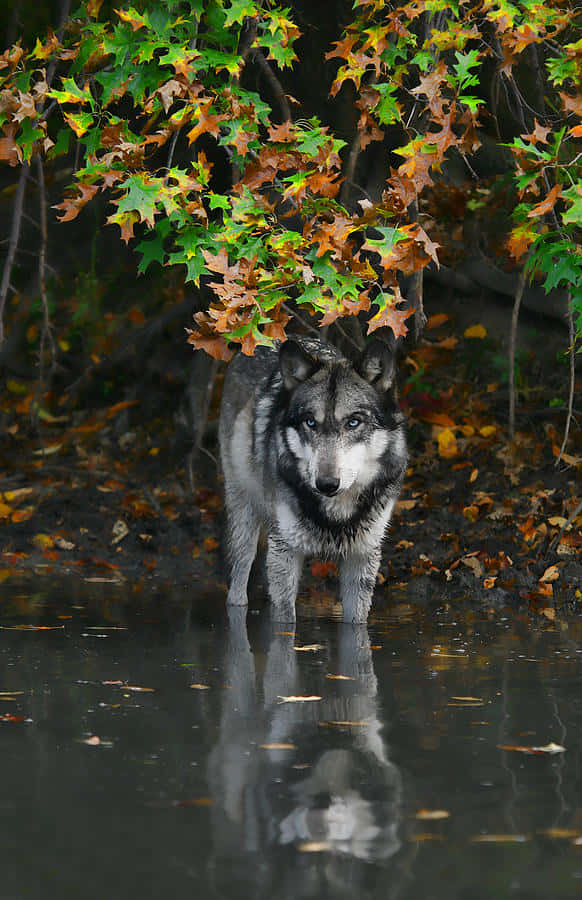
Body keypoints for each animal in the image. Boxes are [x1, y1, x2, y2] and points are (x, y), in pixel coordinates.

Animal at [220, 334, 410, 624]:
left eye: (353, 422)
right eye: (310, 422)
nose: (327, 484)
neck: (336, 515)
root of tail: (265, 339)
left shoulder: (362, 557)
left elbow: (356, 627)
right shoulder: (284, 552)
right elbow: (284, 625)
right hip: (244, 512)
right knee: (238, 584)